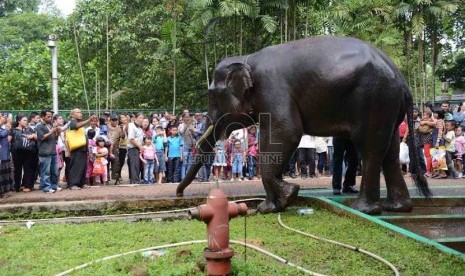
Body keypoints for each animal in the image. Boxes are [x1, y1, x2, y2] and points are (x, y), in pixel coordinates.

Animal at [176, 35, 430, 215]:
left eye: (212, 95)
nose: (180, 196)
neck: (246, 58)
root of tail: (403, 80)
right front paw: (277, 203)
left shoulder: (271, 87)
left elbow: (286, 132)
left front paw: (281, 200)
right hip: (387, 105)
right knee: (390, 151)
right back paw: (396, 208)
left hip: (374, 98)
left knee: (370, 149)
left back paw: (363, 209)